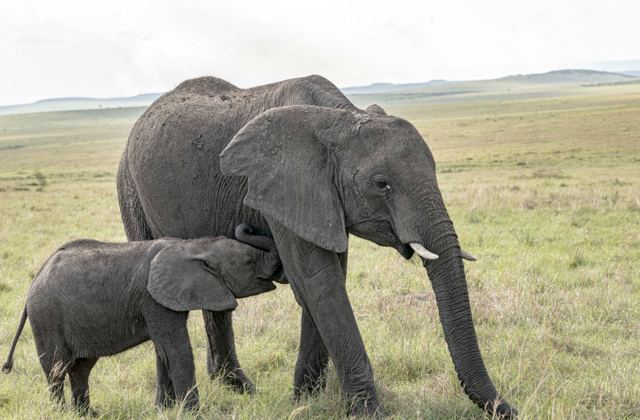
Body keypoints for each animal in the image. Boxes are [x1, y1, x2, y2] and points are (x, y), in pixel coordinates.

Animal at [2, 224, 281, 414]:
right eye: (249, 261)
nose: (248, 225)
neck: (194, 246)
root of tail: (33, 283)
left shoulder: (161, 301)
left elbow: (163, 352)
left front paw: (163, 410)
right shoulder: (153, 300)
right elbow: (177, 350)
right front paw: (193, 414)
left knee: (81, 368)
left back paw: (88, 414)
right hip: (46, 318)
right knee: (56, 368)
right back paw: (62, 414)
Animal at [116, 75, 516, 417]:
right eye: (381, 184)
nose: (511, 408)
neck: (341, 117)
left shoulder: (320, 198)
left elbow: (325, 282)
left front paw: (305, 400)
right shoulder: (283, 187)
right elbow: (320, 283)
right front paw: (367, 413)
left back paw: (239, 388)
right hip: (130, 188)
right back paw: (171, 405)